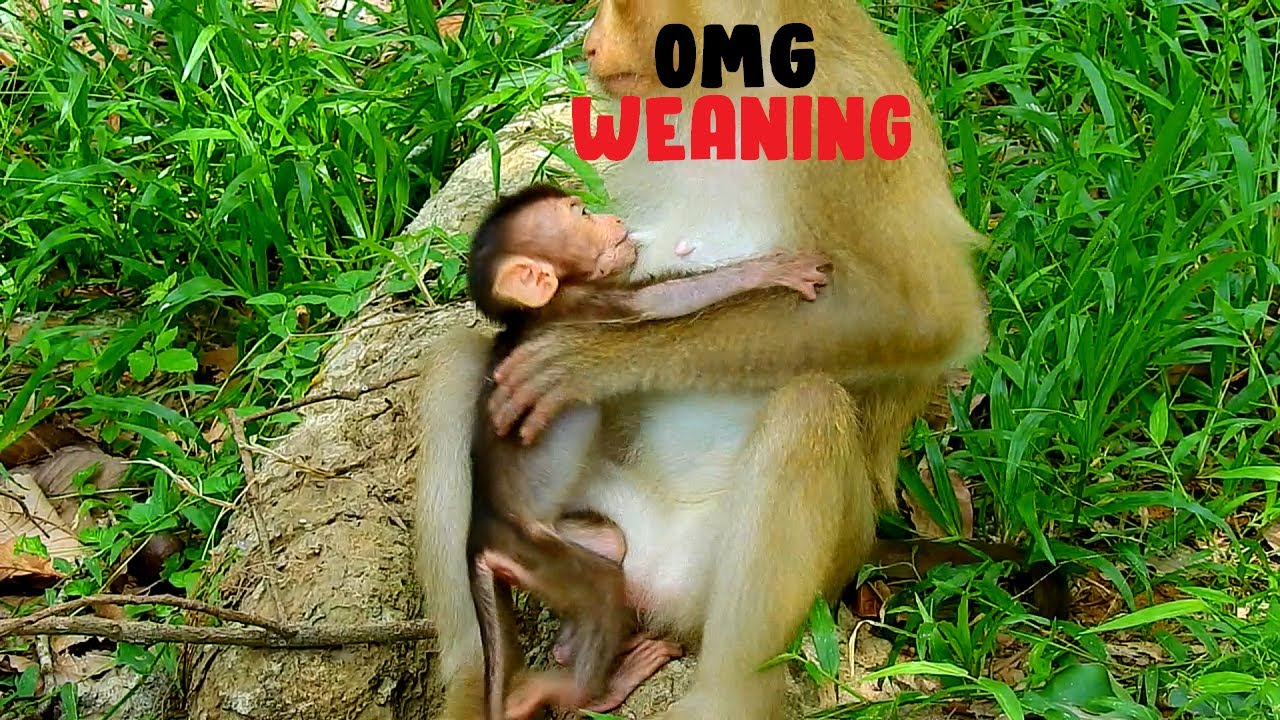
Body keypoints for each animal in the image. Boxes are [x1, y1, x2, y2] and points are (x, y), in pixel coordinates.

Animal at [463, 183, 832, 720]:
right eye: (580, 215)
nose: (613, 220)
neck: (535, 312)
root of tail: (478, 536)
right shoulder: (584, 299)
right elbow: (664, 299)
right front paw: (769, 271)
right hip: (530, 547)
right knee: (599, 587)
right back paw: (587, 691)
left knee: (612, 548)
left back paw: (567, 653)